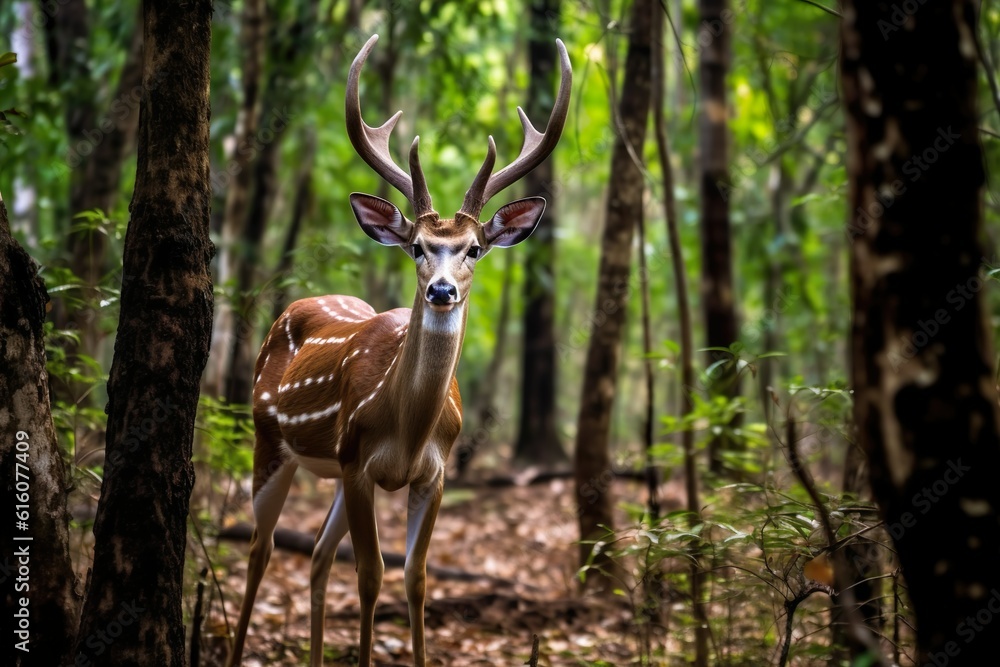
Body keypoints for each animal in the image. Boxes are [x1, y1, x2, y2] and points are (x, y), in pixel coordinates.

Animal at [226, 34, 571, 667]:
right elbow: (370, 575)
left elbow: (416, 579)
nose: (442, 290)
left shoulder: (432, 474)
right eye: (417, 246)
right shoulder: (359, 463)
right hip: (269, 438)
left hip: (331, 471)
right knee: (262, 547)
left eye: (475, 248)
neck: (406, 427)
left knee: (316, 555)